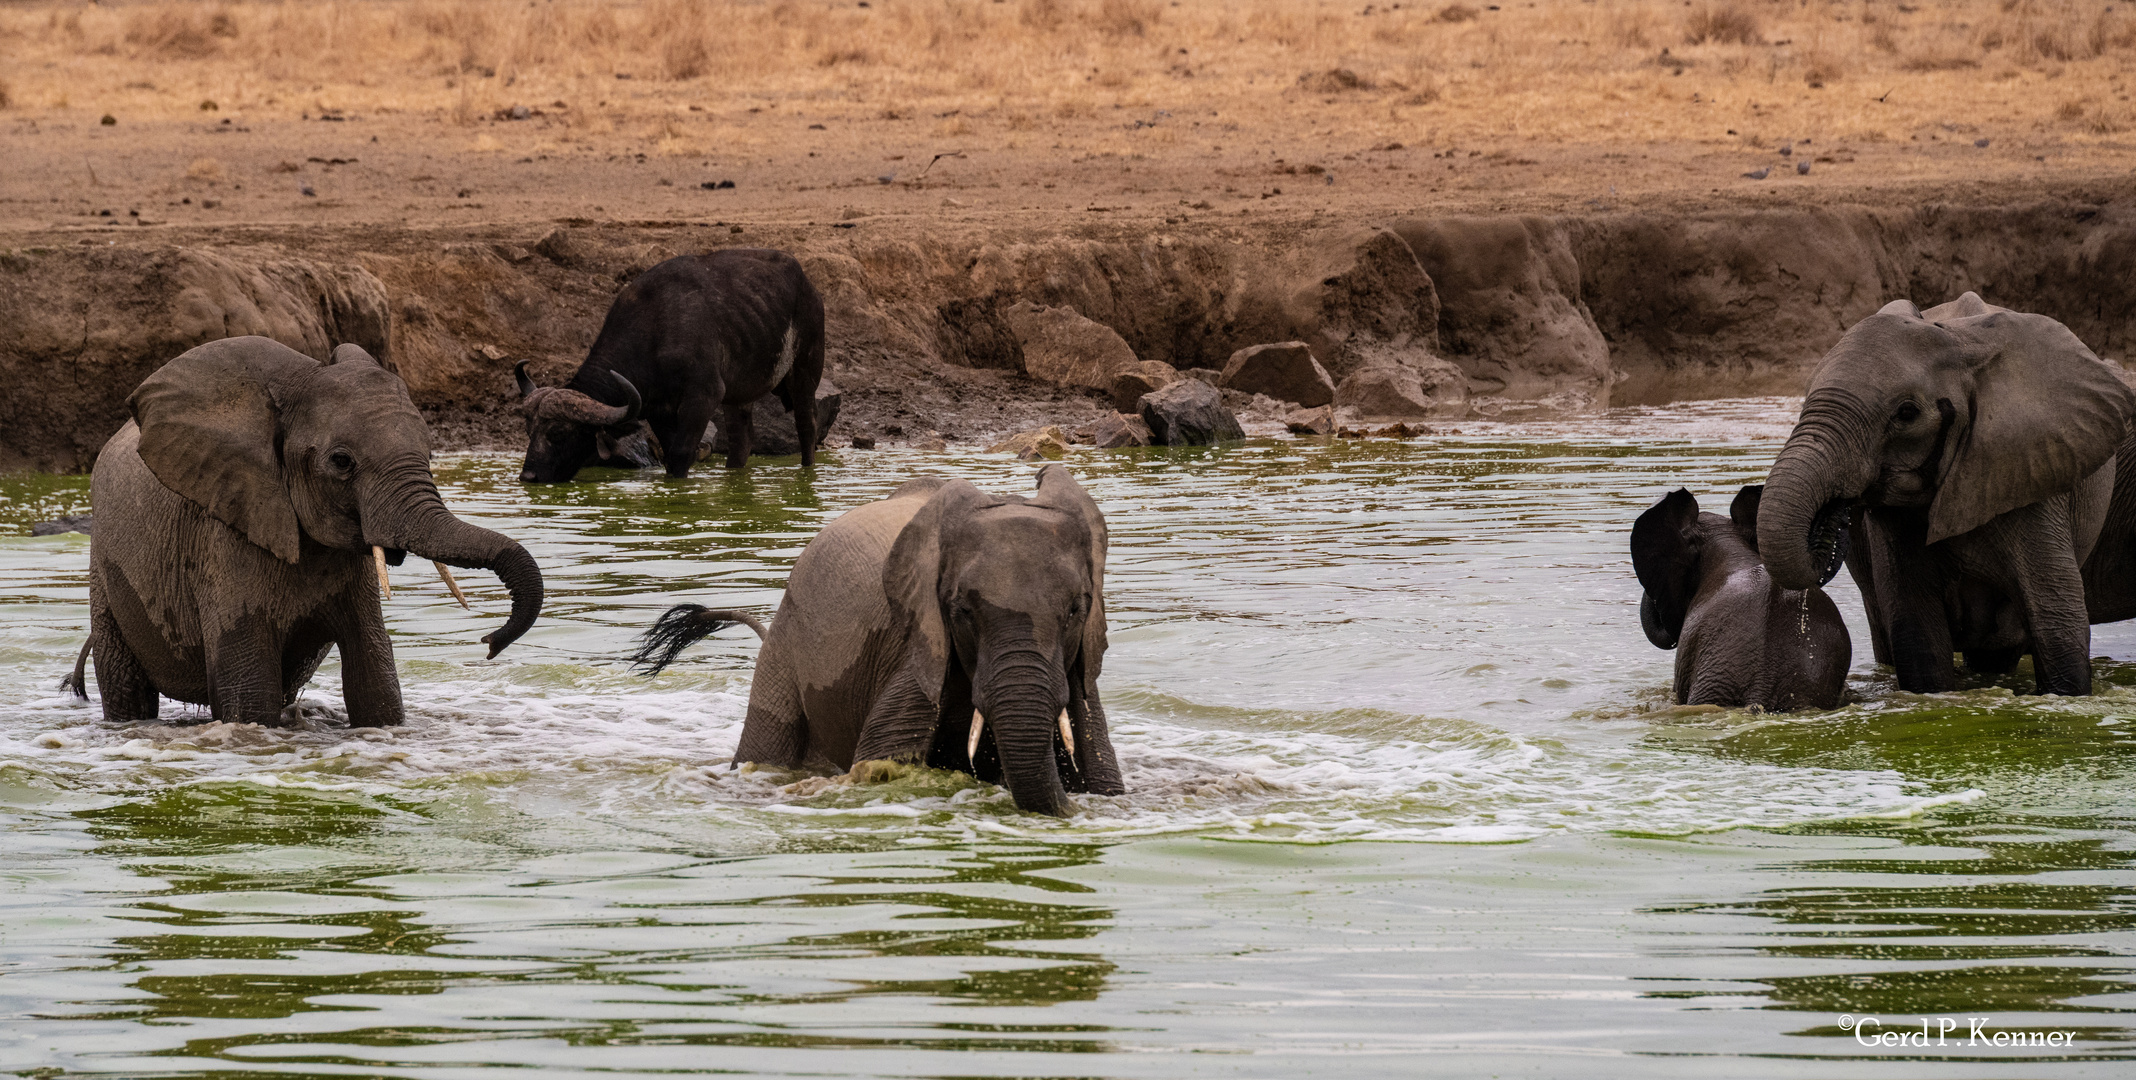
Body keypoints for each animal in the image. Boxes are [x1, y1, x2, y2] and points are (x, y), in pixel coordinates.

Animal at [84, 337, 546, 725]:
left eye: (430, 452)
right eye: (342, 461)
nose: (488, 642)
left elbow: (374, 678)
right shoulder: (221, 538)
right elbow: (249, 693)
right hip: (103, 568)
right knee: (126, 688)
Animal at [516, 250, 824, 478]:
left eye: (558, 432)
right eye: (529, 431)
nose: (529, 476)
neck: (654, 332)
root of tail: (808, 285)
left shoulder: (704, 396)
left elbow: (680, 454)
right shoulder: (658, 409)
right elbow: (669, 452)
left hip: (805, 373)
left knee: (807, 428)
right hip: (739, 395)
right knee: (742, 441)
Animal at [1751, 294, 2136, 695]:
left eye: (1906, 413)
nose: (1835, 512)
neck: (1962, 343)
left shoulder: (2036, 474)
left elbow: (2057, 622)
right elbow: (1919, 636)